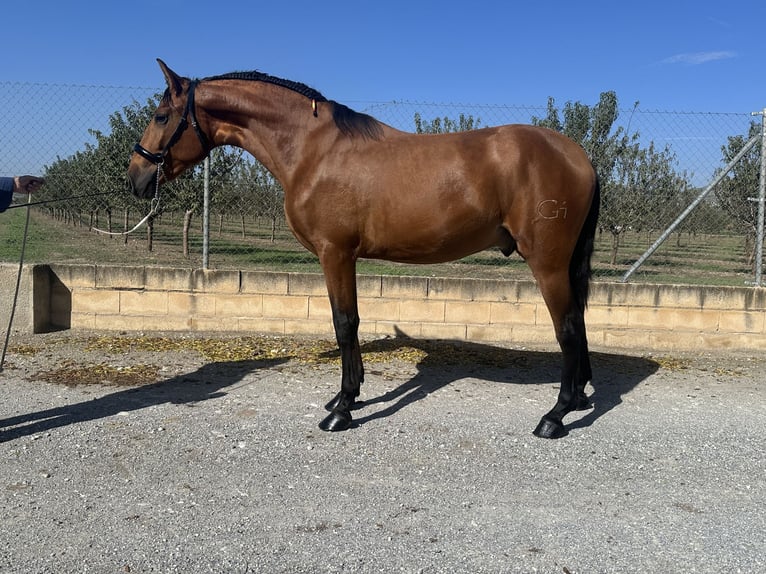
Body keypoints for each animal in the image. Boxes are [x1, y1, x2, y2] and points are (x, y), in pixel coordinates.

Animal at [129, 59, 604, 440]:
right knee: (578, 322)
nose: (135, 177)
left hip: (548, 263)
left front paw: (341, 409)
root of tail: (579, 156)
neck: (314, 151)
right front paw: (350, 396)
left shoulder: (335, 252)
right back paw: (580, 398)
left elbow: (345, 323)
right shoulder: (343, 256)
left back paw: (555, 416)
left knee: (567, 328)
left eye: (161, 115)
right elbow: (348, 324)